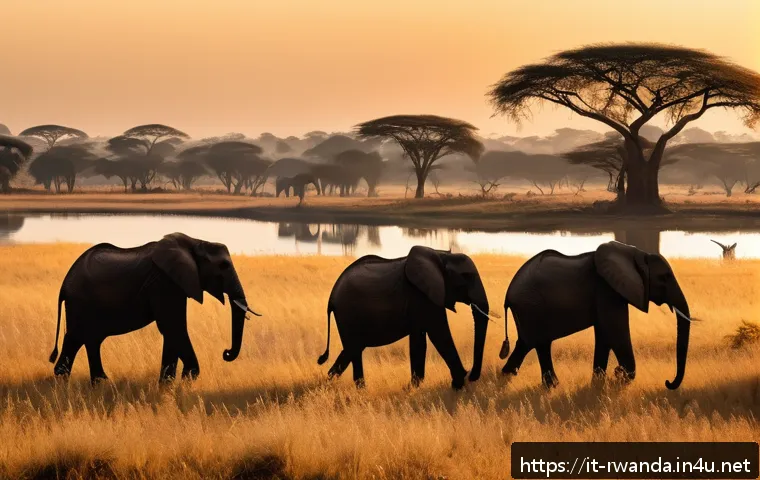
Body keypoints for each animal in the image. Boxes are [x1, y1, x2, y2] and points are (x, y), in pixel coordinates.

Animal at [48, 232, 261, 384]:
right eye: (223, 265)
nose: (226, 353)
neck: (195, 242)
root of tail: (64, 284)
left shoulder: (175, 284)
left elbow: (171, 330)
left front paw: (168, 383)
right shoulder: (164, 282)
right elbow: (173, 327)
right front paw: (188, 378)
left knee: (85, 339)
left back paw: (92, 381)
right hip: (80, 303)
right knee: (80, 336)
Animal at [317, 246, 490, 389]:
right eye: (467, 277)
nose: (472, 375)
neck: (441, 255)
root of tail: (331, 297)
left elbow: (421, 338)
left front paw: (413, 387)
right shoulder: (421, 295)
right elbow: (437, 333)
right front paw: (458, 384)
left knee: (352, 349)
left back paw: (333, 384)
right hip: (347, 314)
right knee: (353, 349)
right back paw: (357, 389)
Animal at [499, 241, 691, 389]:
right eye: (664, 277)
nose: (667, 382)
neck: (637, 254)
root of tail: (507, 295)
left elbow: (605, 334)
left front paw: (599, 382)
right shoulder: (607, 289)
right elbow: (615, 331)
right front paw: (619, 376)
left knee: (533, 344)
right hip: (530, 307)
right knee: (533, 343)